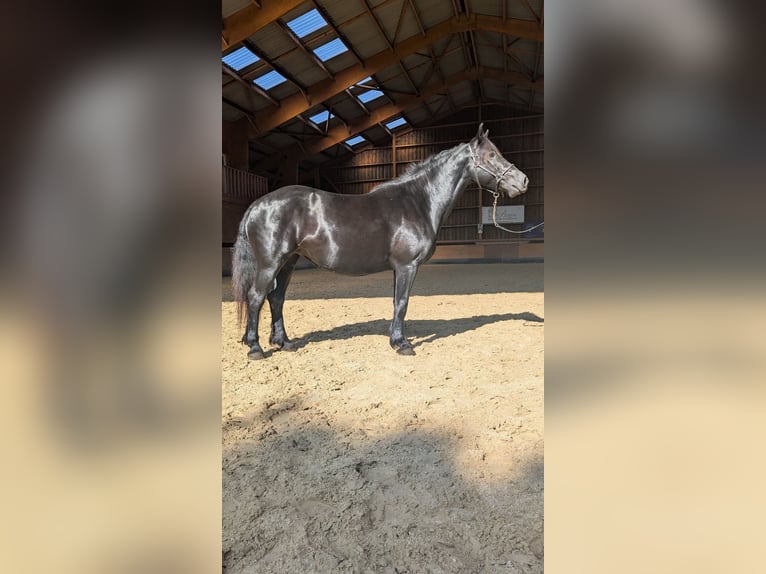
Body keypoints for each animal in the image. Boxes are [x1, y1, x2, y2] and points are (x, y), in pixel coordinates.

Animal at [232, 123, 529, 359]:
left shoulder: (399, 268)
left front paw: (395, 340)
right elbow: (402, 302)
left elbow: (396, 302)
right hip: (271, 263)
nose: (523, 181)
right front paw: (403, 344)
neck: (419, 200)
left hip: (289, 262)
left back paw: (284, 343)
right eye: (491, 155)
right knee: (256, 297)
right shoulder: (408, 266)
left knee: (276, 298)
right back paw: (255, 348)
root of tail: (257, 204)